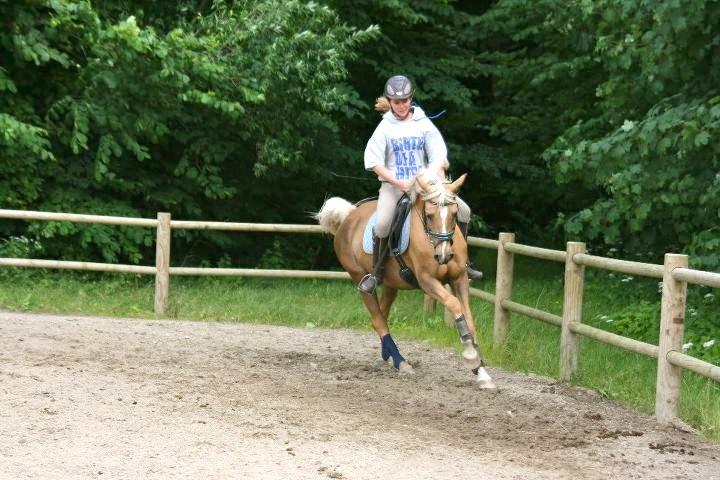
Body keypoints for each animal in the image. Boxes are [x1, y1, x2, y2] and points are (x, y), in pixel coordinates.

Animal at [318, 171, 498, 388]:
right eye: (429, 215)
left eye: (455, 215)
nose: (444, 255)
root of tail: (349, 216)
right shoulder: (427, 281)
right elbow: (454, 305)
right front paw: (471, 356)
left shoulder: (459, 278)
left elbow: (469, 319)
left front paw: (481, 372)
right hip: (360, 278)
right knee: (377, 318)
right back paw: (400, 362)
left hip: (391, 283)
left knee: (382, 315)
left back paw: (387, 355)